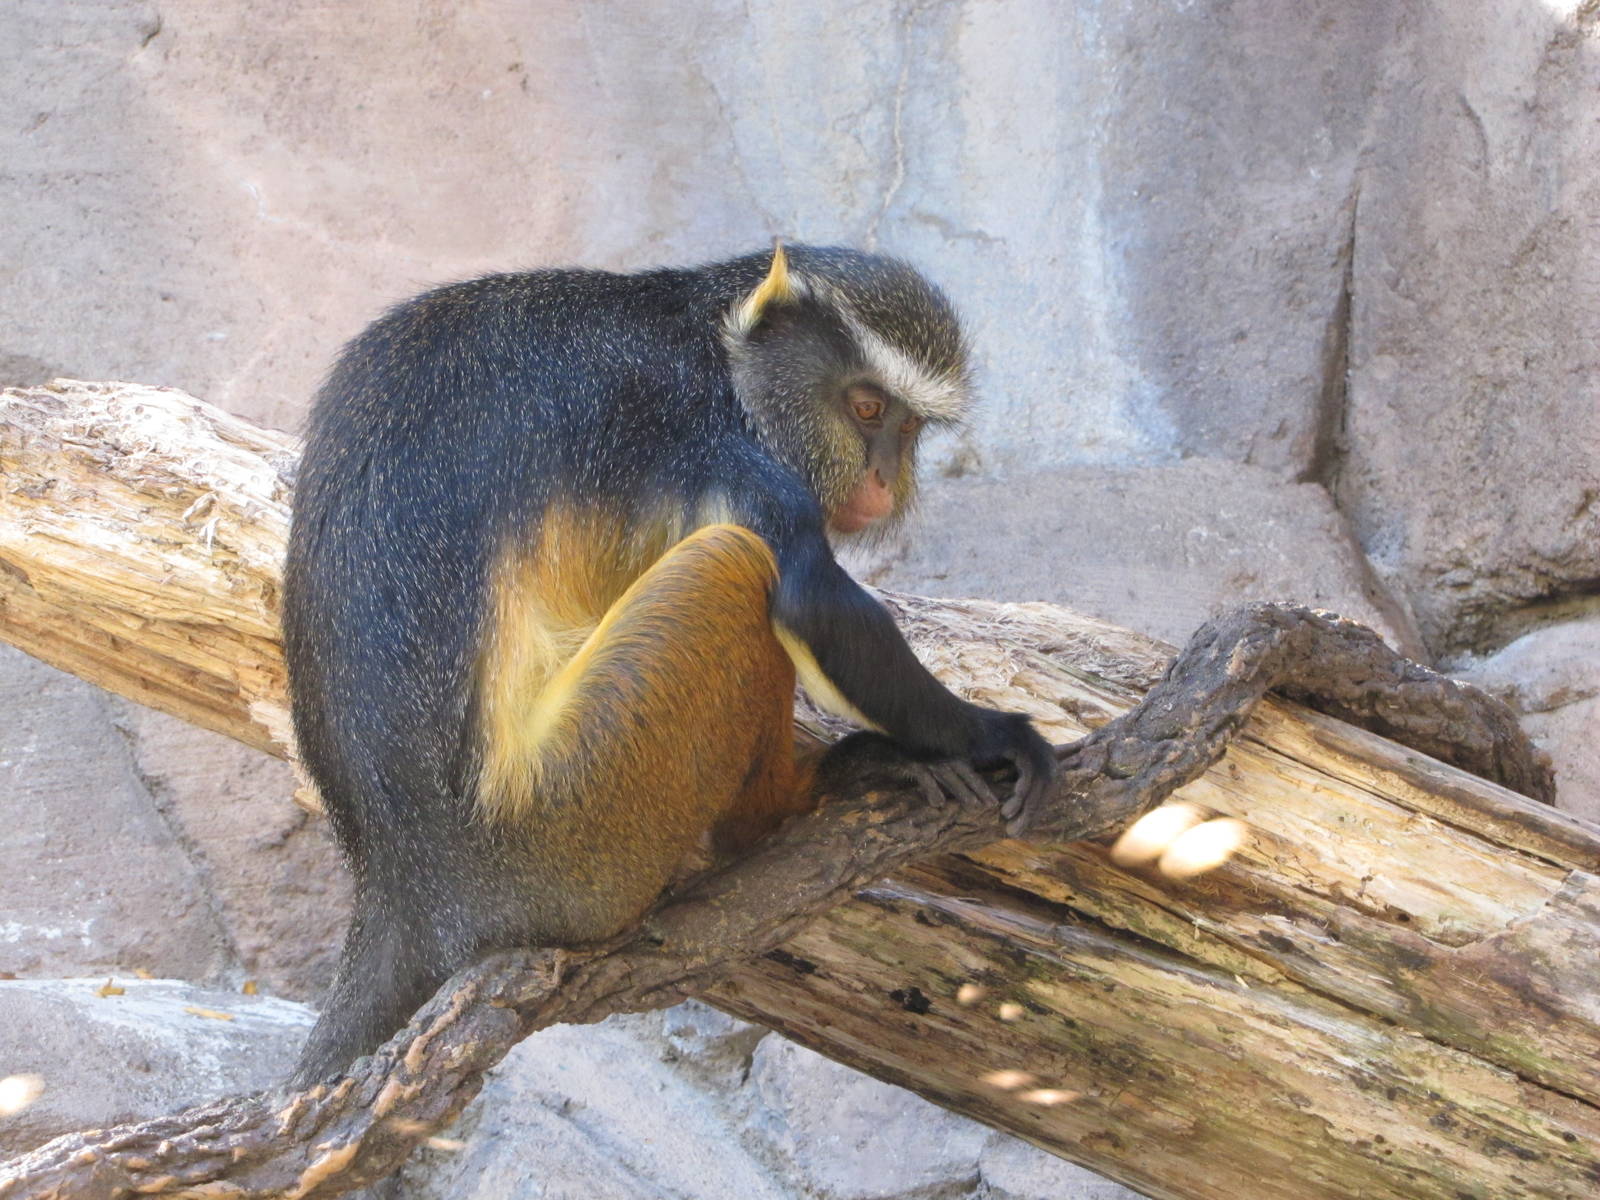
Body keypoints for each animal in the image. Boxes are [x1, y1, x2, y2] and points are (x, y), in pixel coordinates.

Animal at [282, 243, 1057, 1085]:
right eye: (866, 409)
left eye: (909, 425)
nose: (883, 479)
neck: (706, 331)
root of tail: (405, 888)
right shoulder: (710, 434)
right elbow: (812, 602)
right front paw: (998, 737)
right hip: (576, 821)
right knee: (730, 565)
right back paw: (807, 797)